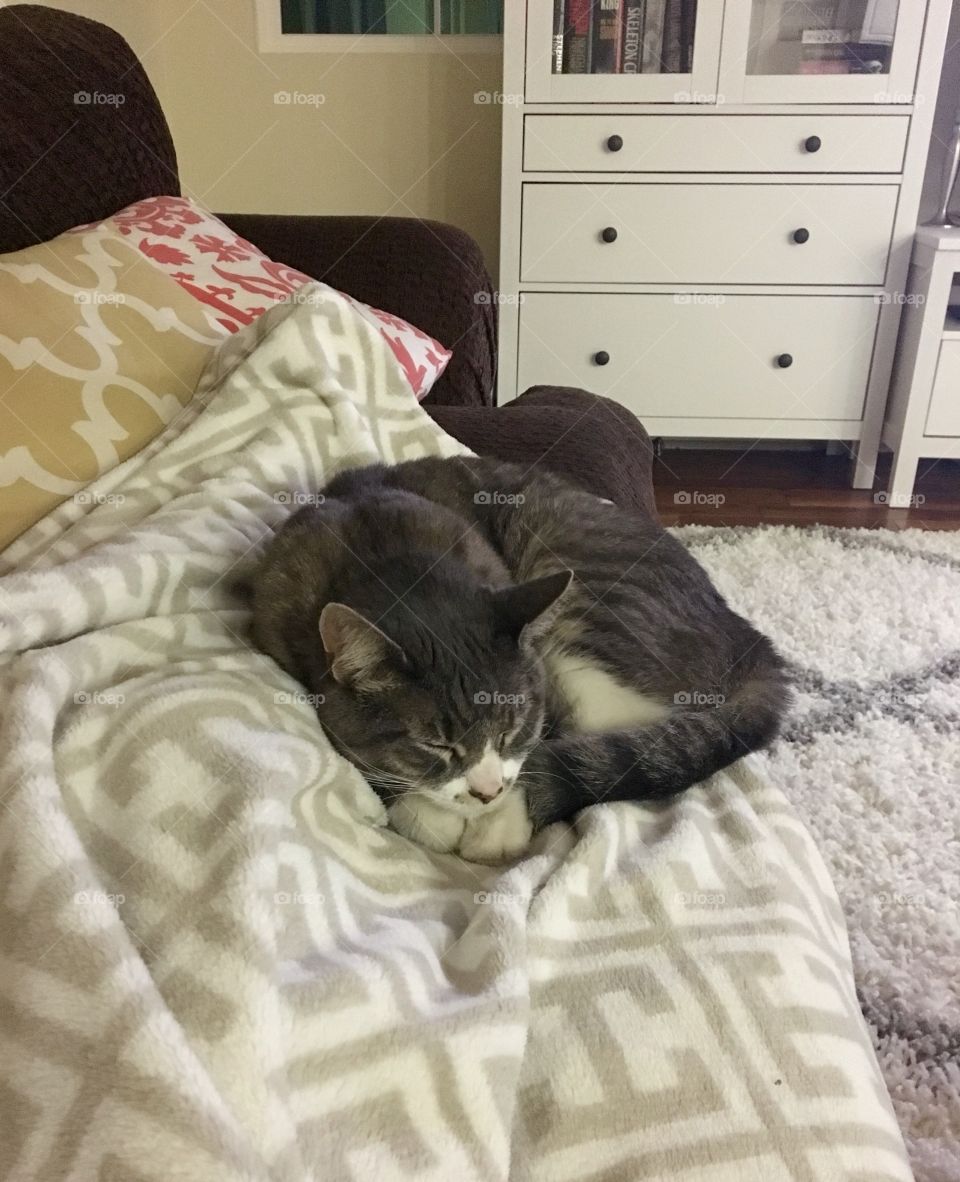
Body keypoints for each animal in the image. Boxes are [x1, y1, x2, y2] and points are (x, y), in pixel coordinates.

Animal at [251, 456, 789, 865]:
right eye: (436, 746)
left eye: (511, 730)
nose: (487, 795)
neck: (386, 552)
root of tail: (752, 640)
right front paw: (428, 811)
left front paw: (483, 815)